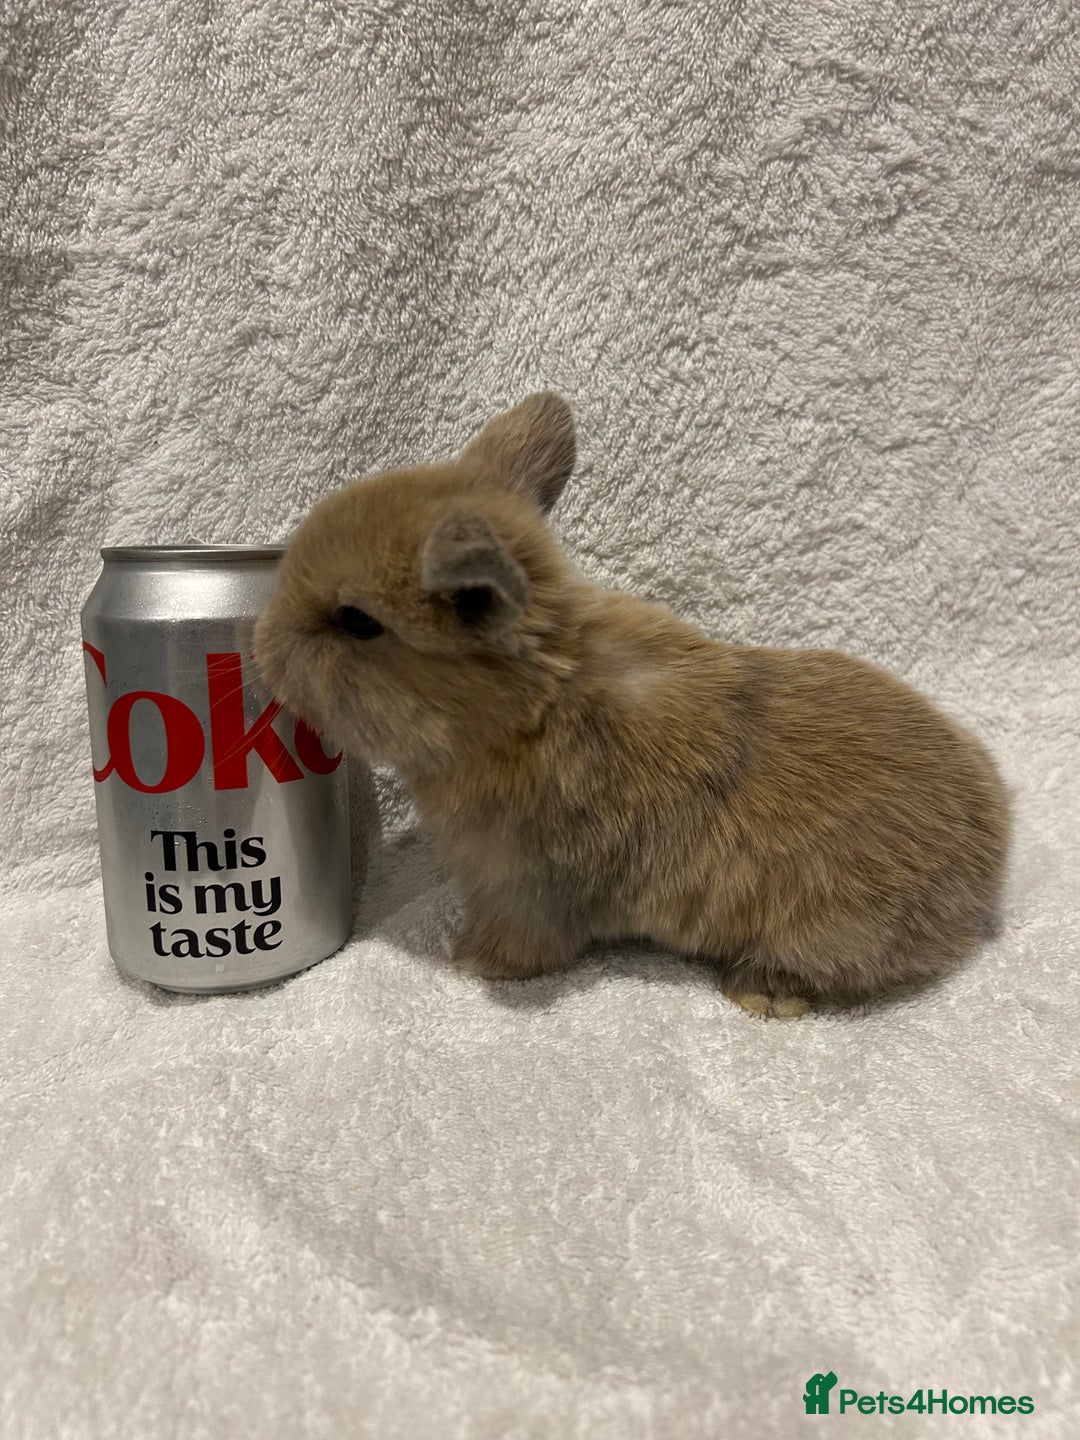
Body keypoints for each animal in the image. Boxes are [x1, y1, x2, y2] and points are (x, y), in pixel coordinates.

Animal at [255, 392, 1010, 1016]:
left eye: (357, 622)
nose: (262, 651)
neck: (534, 708)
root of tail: (987, 873)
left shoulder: (527, 883)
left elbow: (526, 941)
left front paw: (472, 961)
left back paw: (762, 993)